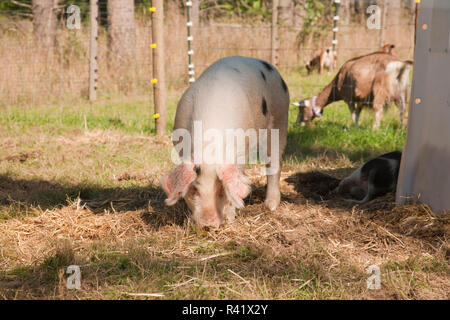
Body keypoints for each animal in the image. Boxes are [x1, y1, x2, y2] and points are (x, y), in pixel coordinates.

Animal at [160, 57, 290, 228]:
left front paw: (230, 218)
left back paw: (271, 205)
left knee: (275, 162)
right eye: (194, 190)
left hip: (280, 119)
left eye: (221, 190)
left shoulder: (242, 150)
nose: (209, 225)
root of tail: (270, 66)